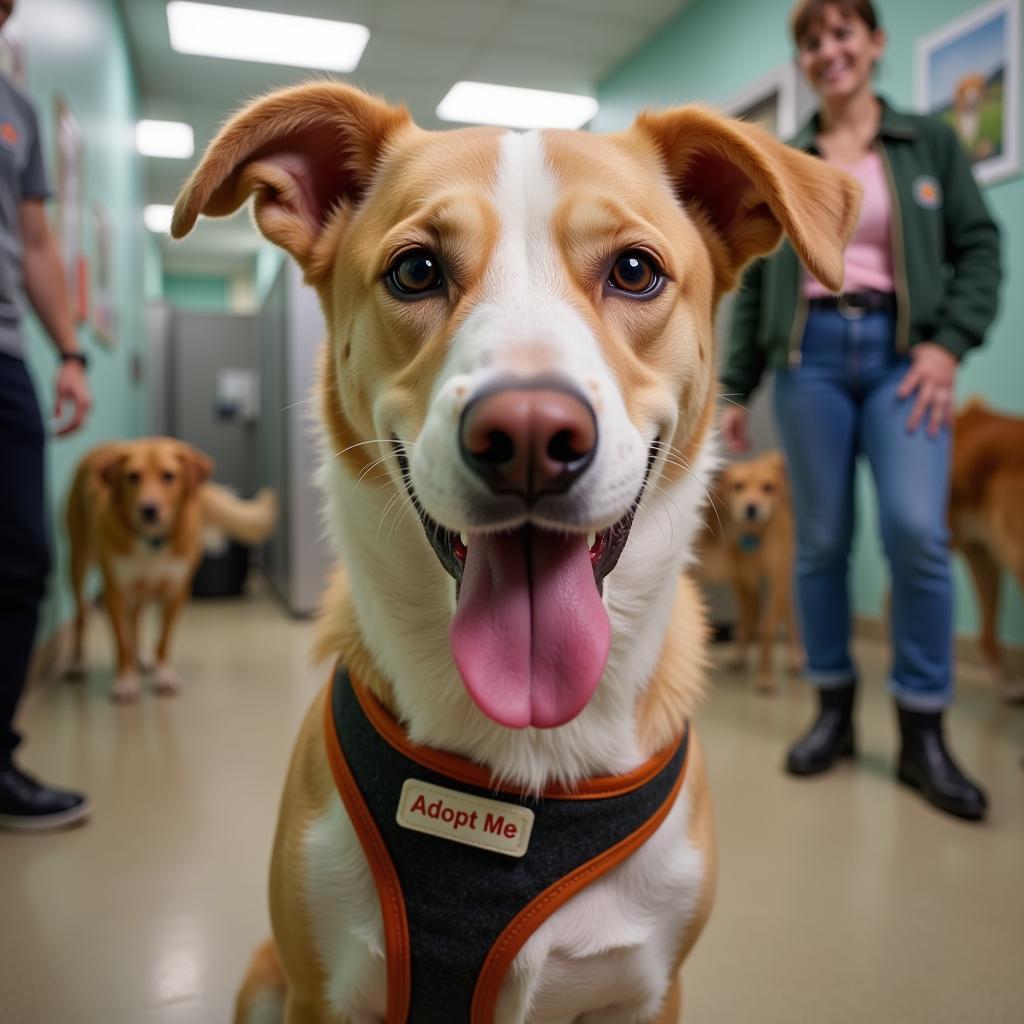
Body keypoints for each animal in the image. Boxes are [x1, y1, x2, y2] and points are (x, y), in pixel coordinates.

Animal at [66, 436, 278, 700]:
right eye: (132, 476)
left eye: (168, 476)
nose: (149, 510)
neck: (152, 541)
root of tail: (105, 445)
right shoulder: (114, 593)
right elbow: (121, 643)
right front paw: (126, 680)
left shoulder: (176, 592)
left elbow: (163, 640)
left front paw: (163, 674)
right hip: (78, 561)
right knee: (81, 615)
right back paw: (77, 663)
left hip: (140, 589)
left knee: (135, 618)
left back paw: (141, 656)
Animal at [696, 452, 798, 692]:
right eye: (738, 486)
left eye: (768, 487)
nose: (752, 507)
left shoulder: (776, 581)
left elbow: (767, 629)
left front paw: (765, 677)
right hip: (744, 580)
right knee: (749, 613)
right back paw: (739, 657)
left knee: (789, 619)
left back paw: (795, 659)